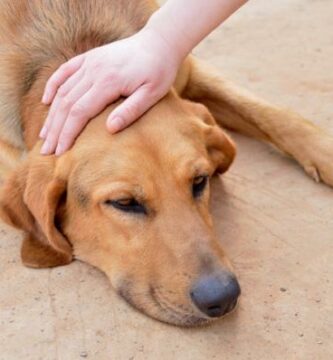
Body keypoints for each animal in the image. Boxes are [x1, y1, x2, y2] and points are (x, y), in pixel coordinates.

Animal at [0, 0, 332, 326]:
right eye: (124, 203)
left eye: (199, 181)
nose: (223, 297)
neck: (76, 44)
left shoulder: (183, 68)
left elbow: (272, 114)